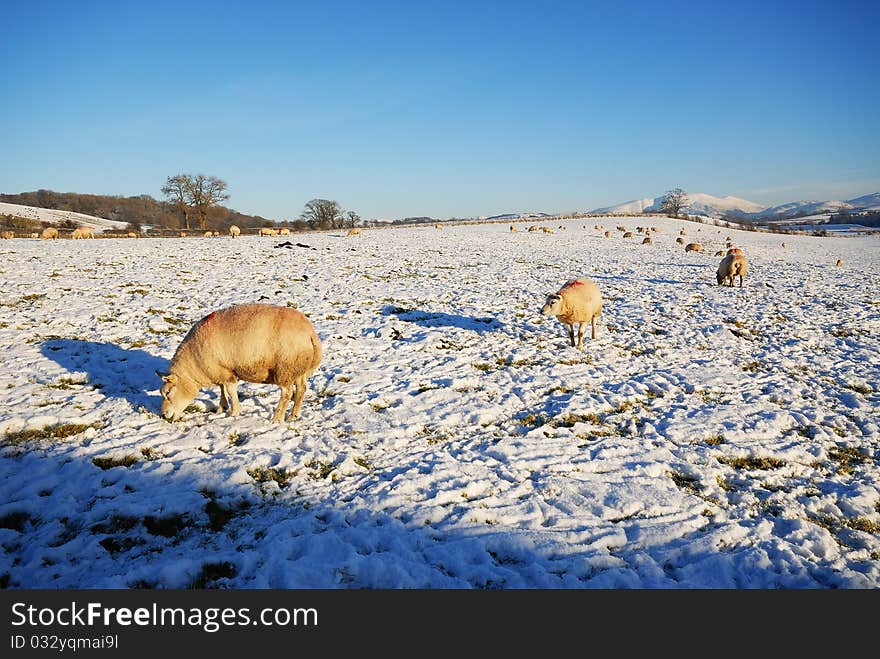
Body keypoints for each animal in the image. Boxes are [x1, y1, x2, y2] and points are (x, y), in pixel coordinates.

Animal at [157, 302, 324, 422]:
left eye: (168, 392)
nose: (163, 416)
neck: (194, 366)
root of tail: (310, 333)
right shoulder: (220, 370)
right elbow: (222, 389)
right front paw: (222, 408)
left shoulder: (225, 371)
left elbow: (230, 390)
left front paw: (235, 412)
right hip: (298, 367)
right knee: (301, 389)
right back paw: (293, 415)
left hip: (285, 368)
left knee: (287, 393)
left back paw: (277, 418)